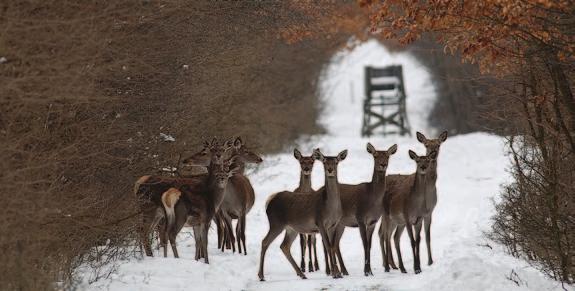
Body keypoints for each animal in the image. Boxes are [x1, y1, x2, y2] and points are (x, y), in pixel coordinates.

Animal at [260, 149, 348, 282]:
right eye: (324, 162)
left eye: (336, 162)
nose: (330, 170)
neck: (330, 209)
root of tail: (269, 201)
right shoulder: (320, 222)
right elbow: (328, 246)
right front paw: (335, 273)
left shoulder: (333, 225)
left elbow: (333, 246)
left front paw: (338, 272)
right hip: (276, 223)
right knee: (265, 242)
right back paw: (261, 275)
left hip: (291, 228)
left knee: (284, 246)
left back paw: (302, 274)